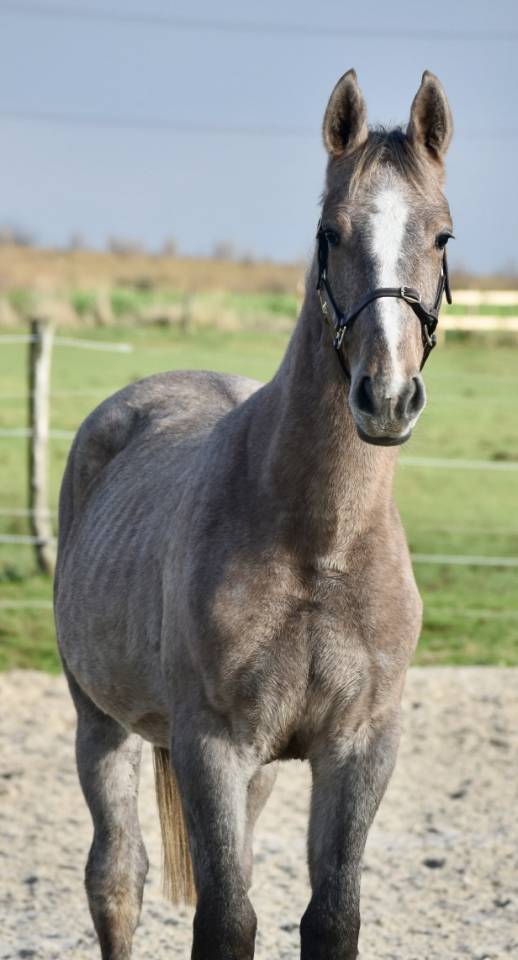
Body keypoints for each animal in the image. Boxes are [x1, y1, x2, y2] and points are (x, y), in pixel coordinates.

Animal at [54, 68, 453, 960]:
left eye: (442, 237)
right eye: (330, 232)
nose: (386, 396)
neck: (320, 545)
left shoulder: (358, 748)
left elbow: (332, 917)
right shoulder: (212, 746)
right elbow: (225, 919)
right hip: (100, 724)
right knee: (115, 878)